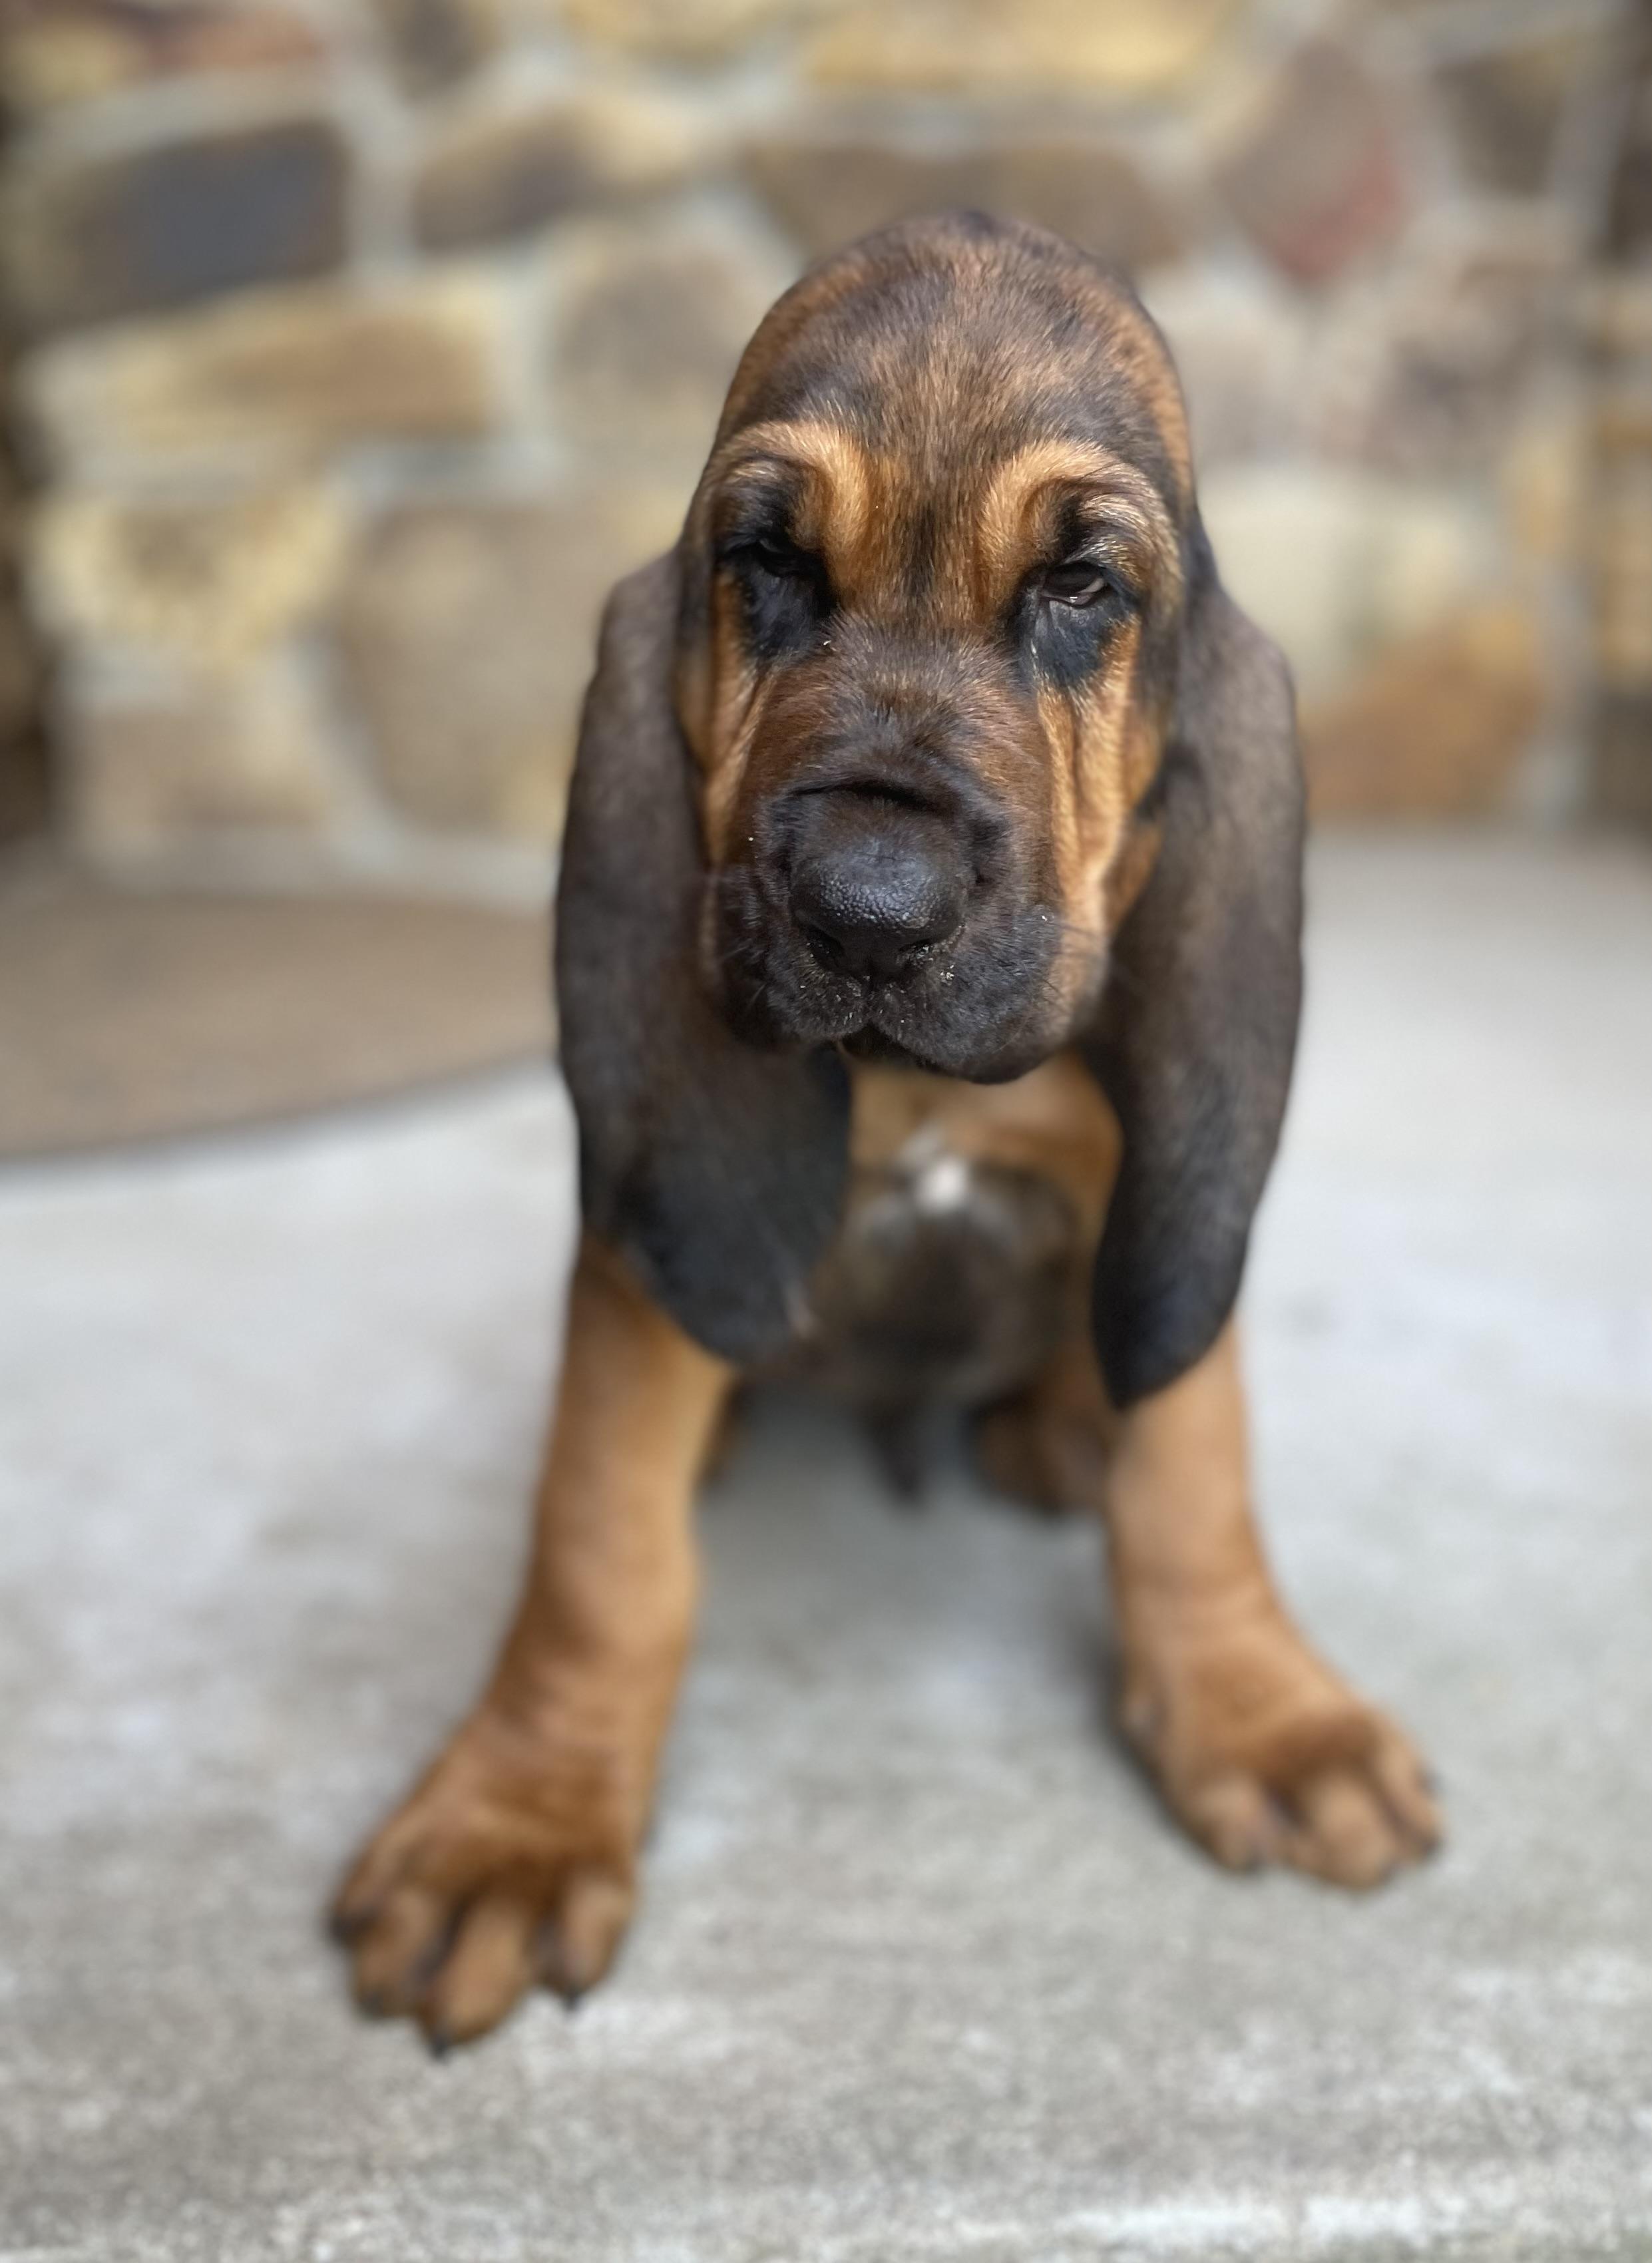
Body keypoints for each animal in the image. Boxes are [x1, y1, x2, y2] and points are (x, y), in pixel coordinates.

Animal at [332, 215, 1440, 2052]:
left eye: (1081, 589)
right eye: (765, 561)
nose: (864, 908)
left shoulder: (1165, 1210)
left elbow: (1192, 1468)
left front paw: (1263, 1711)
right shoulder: (639, 1256)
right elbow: (600, 1546)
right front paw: (517, 1818)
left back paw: (1058, 1427)